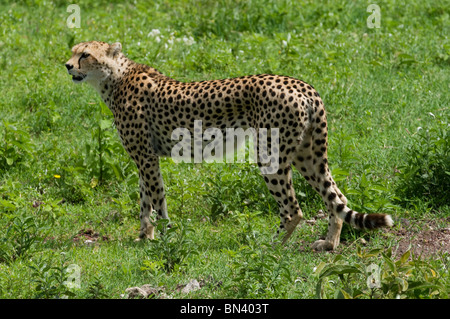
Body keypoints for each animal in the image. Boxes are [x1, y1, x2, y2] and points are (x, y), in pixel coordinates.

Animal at [65, 41, 392, 251]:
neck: (114, 77)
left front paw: (166, 237)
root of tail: (302, 85)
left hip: (270, 155)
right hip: (306, 154)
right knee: (336, 197)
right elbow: (145, 200)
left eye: (85, 54)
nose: (67, 66)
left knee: (293, 209)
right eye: (72, 52)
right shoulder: (145, 157)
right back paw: (329, 243)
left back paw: (266, 245)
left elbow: (157, 199)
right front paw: (145, 238)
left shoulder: (146, 157)